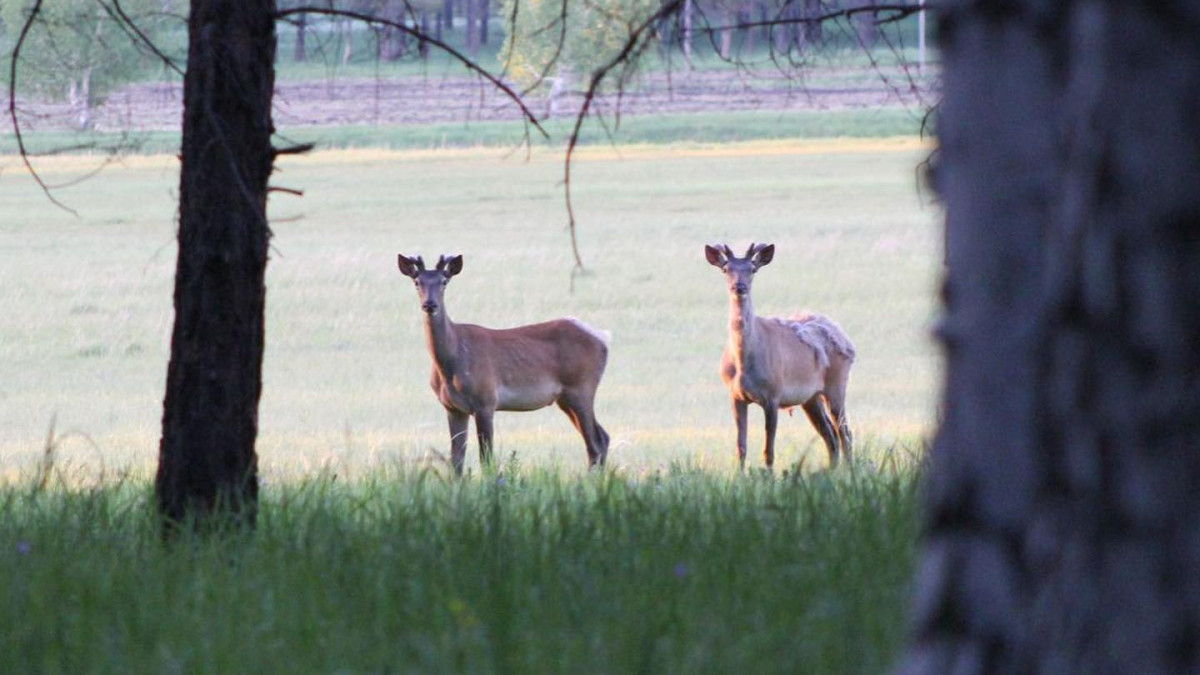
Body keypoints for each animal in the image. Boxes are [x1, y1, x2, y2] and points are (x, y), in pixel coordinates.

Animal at [400, 252, 614, 473]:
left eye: (444, 281)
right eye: (417, 281)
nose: (429, 304)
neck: (450, 366)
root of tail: (602, 338)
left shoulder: (486, 400)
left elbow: (486, 458)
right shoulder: (452, 407)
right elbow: (456, 460)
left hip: (581, 387)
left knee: (595, 442)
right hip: (565, 398)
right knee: (602, 437)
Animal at [700, 241, 854, 468]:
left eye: (752, 269)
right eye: (725, 269)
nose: (739, 287)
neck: (744, 364)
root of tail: (846, 339)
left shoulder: (773, 394)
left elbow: (768, 450)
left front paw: (769, 475)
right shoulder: (736, 396)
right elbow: (741, 447)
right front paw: (739, 475)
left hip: (836, 384)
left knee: (845, 433)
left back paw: (849, 470)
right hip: (811, 397)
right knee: (830, 435)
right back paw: (833, 471)